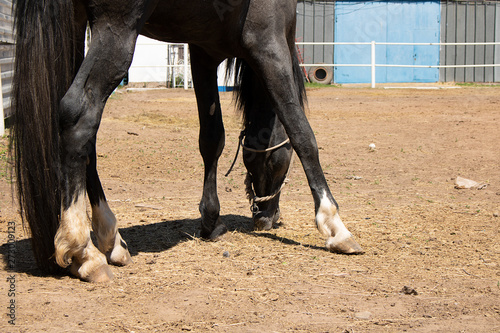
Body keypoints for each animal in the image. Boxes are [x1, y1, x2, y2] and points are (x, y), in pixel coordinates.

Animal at [11, 0, 362, 282]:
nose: (265, 217)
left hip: (74, 28)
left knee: (87, 137)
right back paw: (83, 249)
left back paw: (111, 239)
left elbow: (212, 138)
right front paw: (335, 225)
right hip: (114, 30)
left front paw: (209, 219)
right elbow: (301, 131)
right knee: (78, 114)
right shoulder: (268, 42)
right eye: (281, 159)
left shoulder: (204, 51)